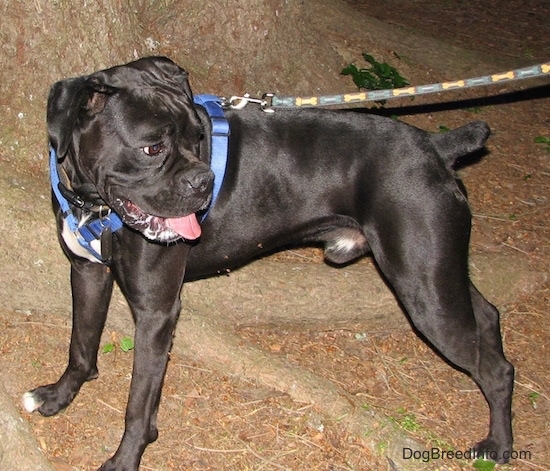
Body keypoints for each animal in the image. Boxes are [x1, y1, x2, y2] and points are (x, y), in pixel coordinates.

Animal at [21, 57, 516, 470]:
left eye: (197, 140)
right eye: (152, 148)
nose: (204, 180)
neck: (95, 205)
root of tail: (435, 146)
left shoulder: (156, 312)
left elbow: (138, 404)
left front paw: (124, 460)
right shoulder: (87, 272)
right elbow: (81, 344)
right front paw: (58, 396)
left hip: (425, 291)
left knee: (496, 369)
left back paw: (498, 446)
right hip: (435, 272)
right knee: (487, 315)